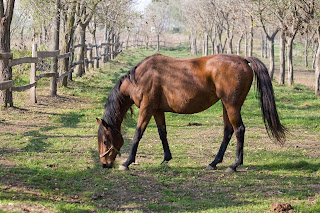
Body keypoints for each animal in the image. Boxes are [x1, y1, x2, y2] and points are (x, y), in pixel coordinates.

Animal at [96, 54, 286, 172]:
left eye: (105, 141)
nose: (104, 164)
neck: (140, 77)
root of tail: (242, 59)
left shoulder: (146, 108)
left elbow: (137, 135)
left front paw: (127, 162)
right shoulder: (157, 111)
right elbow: (162, 133)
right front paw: (166, 158)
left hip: (232, 106)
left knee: (239, 130)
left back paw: (234, 165)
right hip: (226, 106)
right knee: (228, 131)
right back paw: (214, 163)